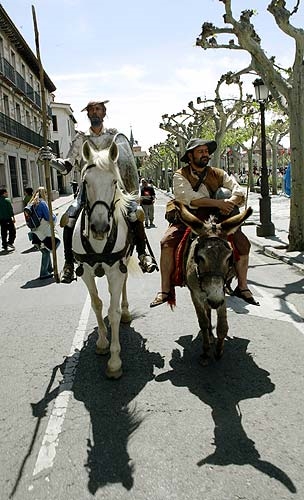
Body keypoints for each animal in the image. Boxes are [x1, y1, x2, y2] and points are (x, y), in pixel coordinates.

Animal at [72, 141, 135, 378]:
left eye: (114, 182)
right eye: (85, 182)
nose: (99, 228)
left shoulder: (116, 270)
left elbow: (113, 313)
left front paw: (115, 361)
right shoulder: (86, 272)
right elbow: (97, 304)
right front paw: (101, 342)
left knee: (123, 289)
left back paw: (125, 311)